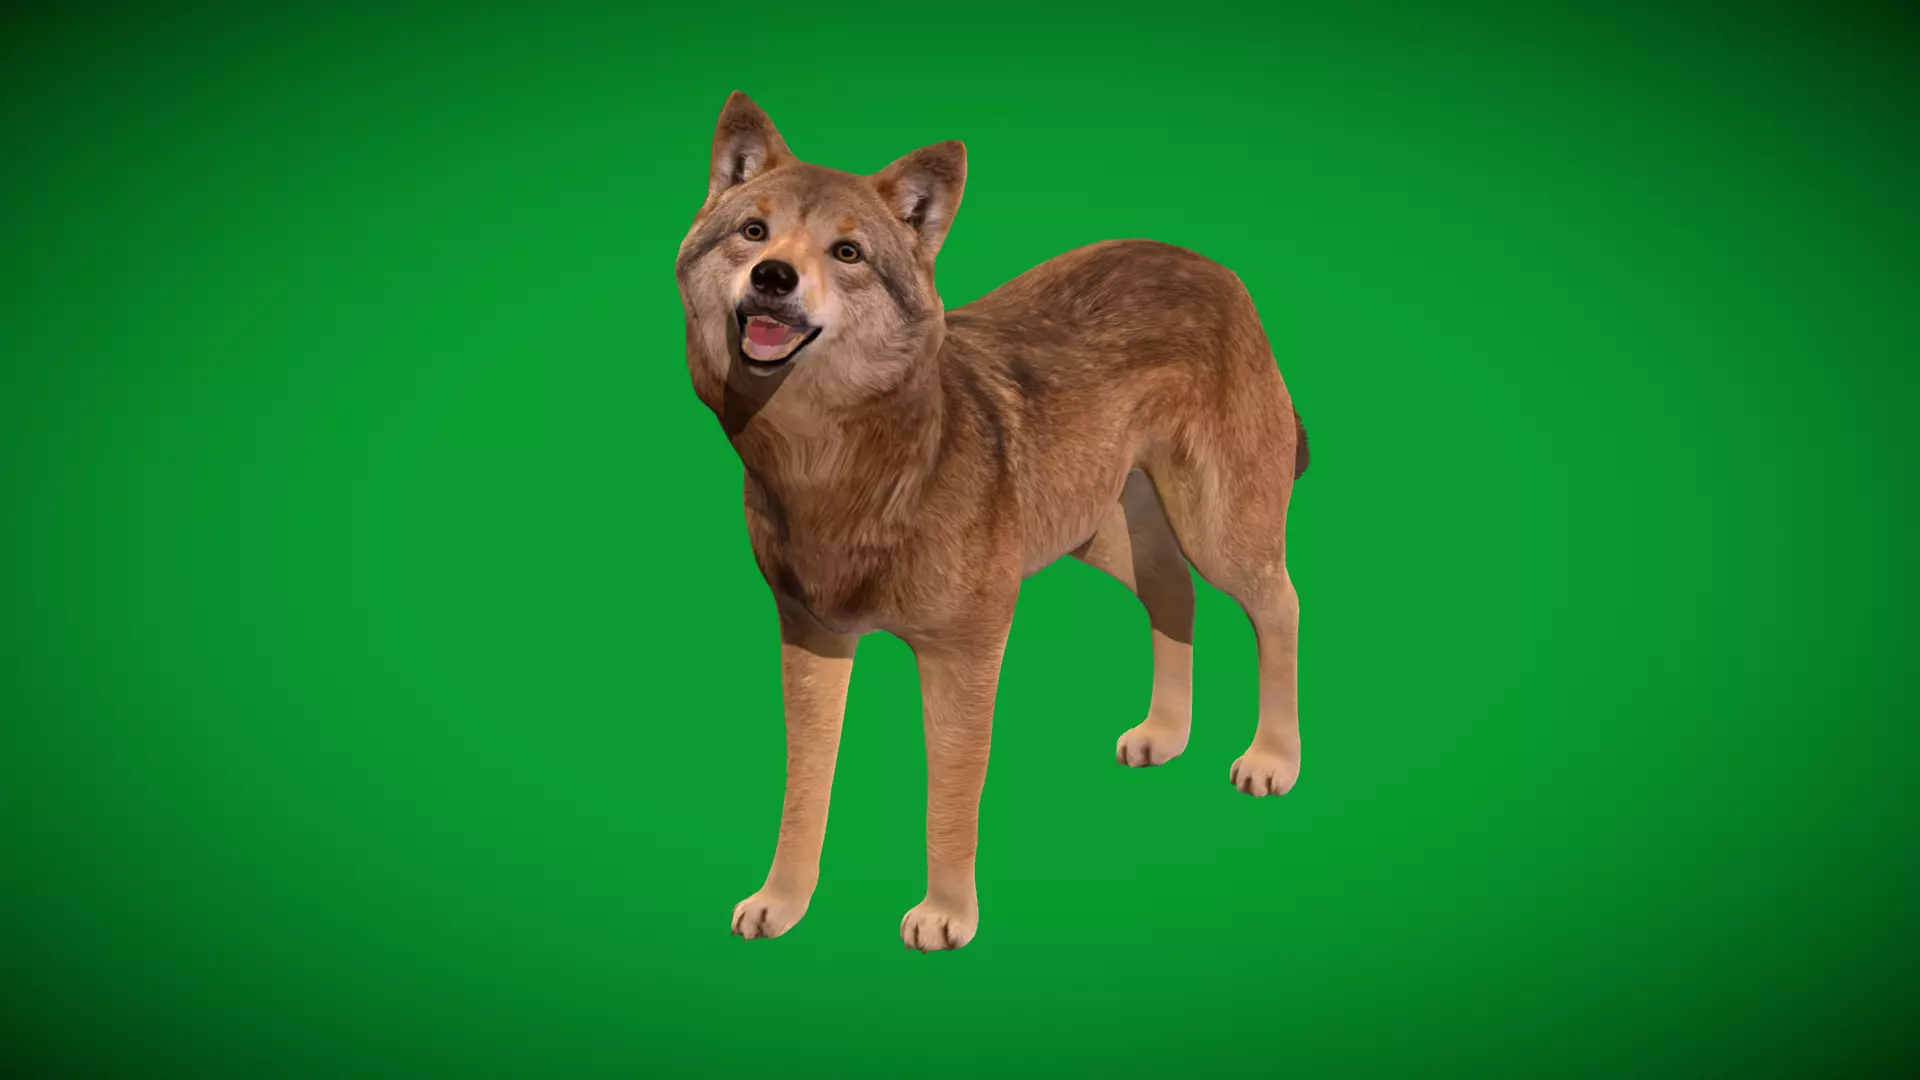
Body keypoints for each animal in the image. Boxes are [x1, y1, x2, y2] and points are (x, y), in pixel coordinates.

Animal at [675, 92, 1310, 952]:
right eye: (753, 231)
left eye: (847, 252)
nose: (773, 277)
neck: (836, 462)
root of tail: (1215, 268)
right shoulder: (810, 638)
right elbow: (803, 790)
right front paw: (783, 901)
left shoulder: (965, 650)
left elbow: (949, 798)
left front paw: (945, 915)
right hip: (1103, 535)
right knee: (1175, 597)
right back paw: (1164, 734)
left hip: (1219, 533)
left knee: (1279, 606)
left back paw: (1273, 758)